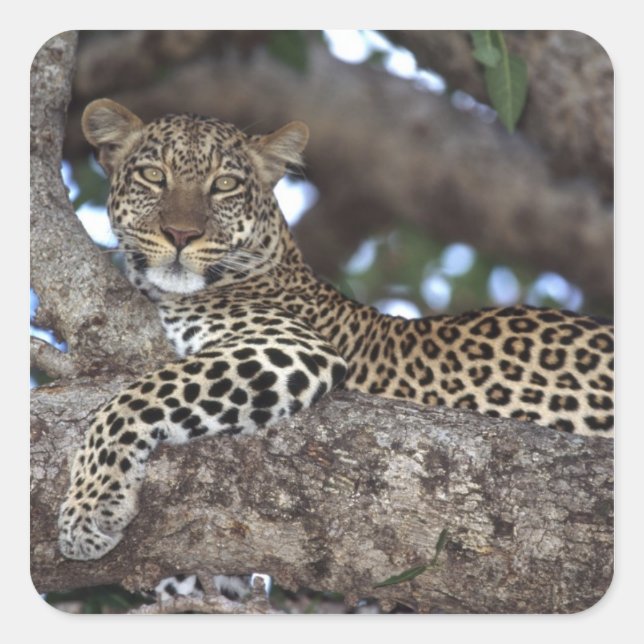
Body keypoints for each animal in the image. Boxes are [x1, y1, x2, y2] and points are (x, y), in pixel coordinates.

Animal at [58, 98, 614, 562]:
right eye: (153, 176)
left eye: (225, 185)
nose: (180, 235)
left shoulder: (290, 347)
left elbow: (135, 397)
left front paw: (88, 511)